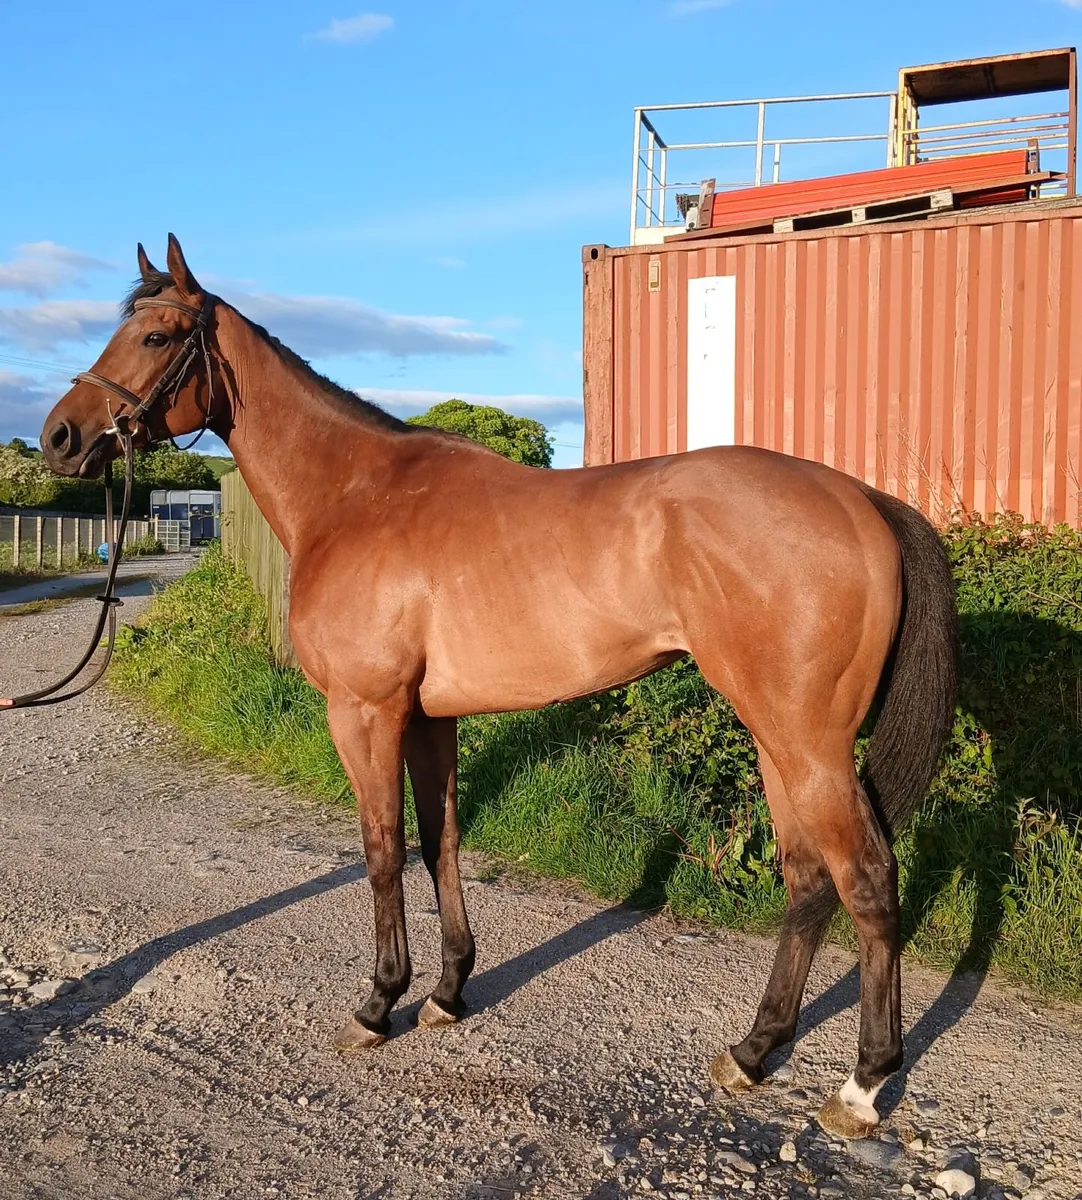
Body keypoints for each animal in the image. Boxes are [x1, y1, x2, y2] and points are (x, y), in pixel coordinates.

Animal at [40, 236, 957, 1140]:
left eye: (157, 335)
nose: (59, 436)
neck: (355, 494)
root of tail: (862, 501)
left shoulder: (365, 712)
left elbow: (381, 849)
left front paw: (378, 1004)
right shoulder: (428, 719)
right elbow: (440, 840)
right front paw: (447, 992)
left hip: (806, 742)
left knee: (866, 879)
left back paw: (862, 1087)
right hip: (777, 738)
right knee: (808, 880)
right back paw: (754, 1051)